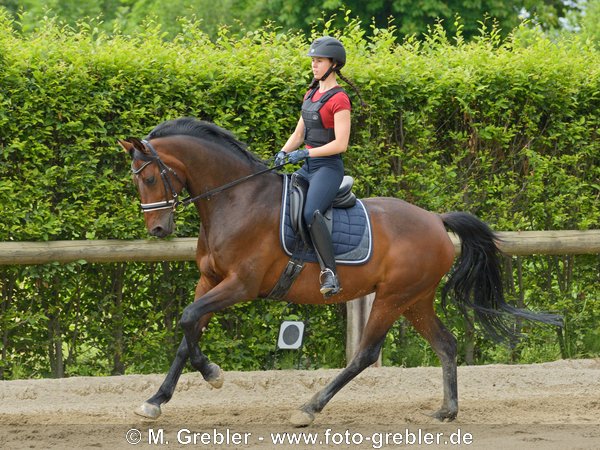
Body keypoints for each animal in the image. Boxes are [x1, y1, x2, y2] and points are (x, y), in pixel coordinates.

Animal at [118, 116, 564, 426]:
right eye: (136, 181)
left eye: (152, 177)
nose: (158, 230)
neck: (236, 199)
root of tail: (436, 220)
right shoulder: (209, 281)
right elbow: (186, 333)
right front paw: (155, 401)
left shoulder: (239, 285)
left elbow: (187, 319)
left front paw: (213, 374)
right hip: (416, 300)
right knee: (446, 344)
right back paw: (446, 410)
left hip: (393, 297)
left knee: (365, 354)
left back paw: (309, 408)